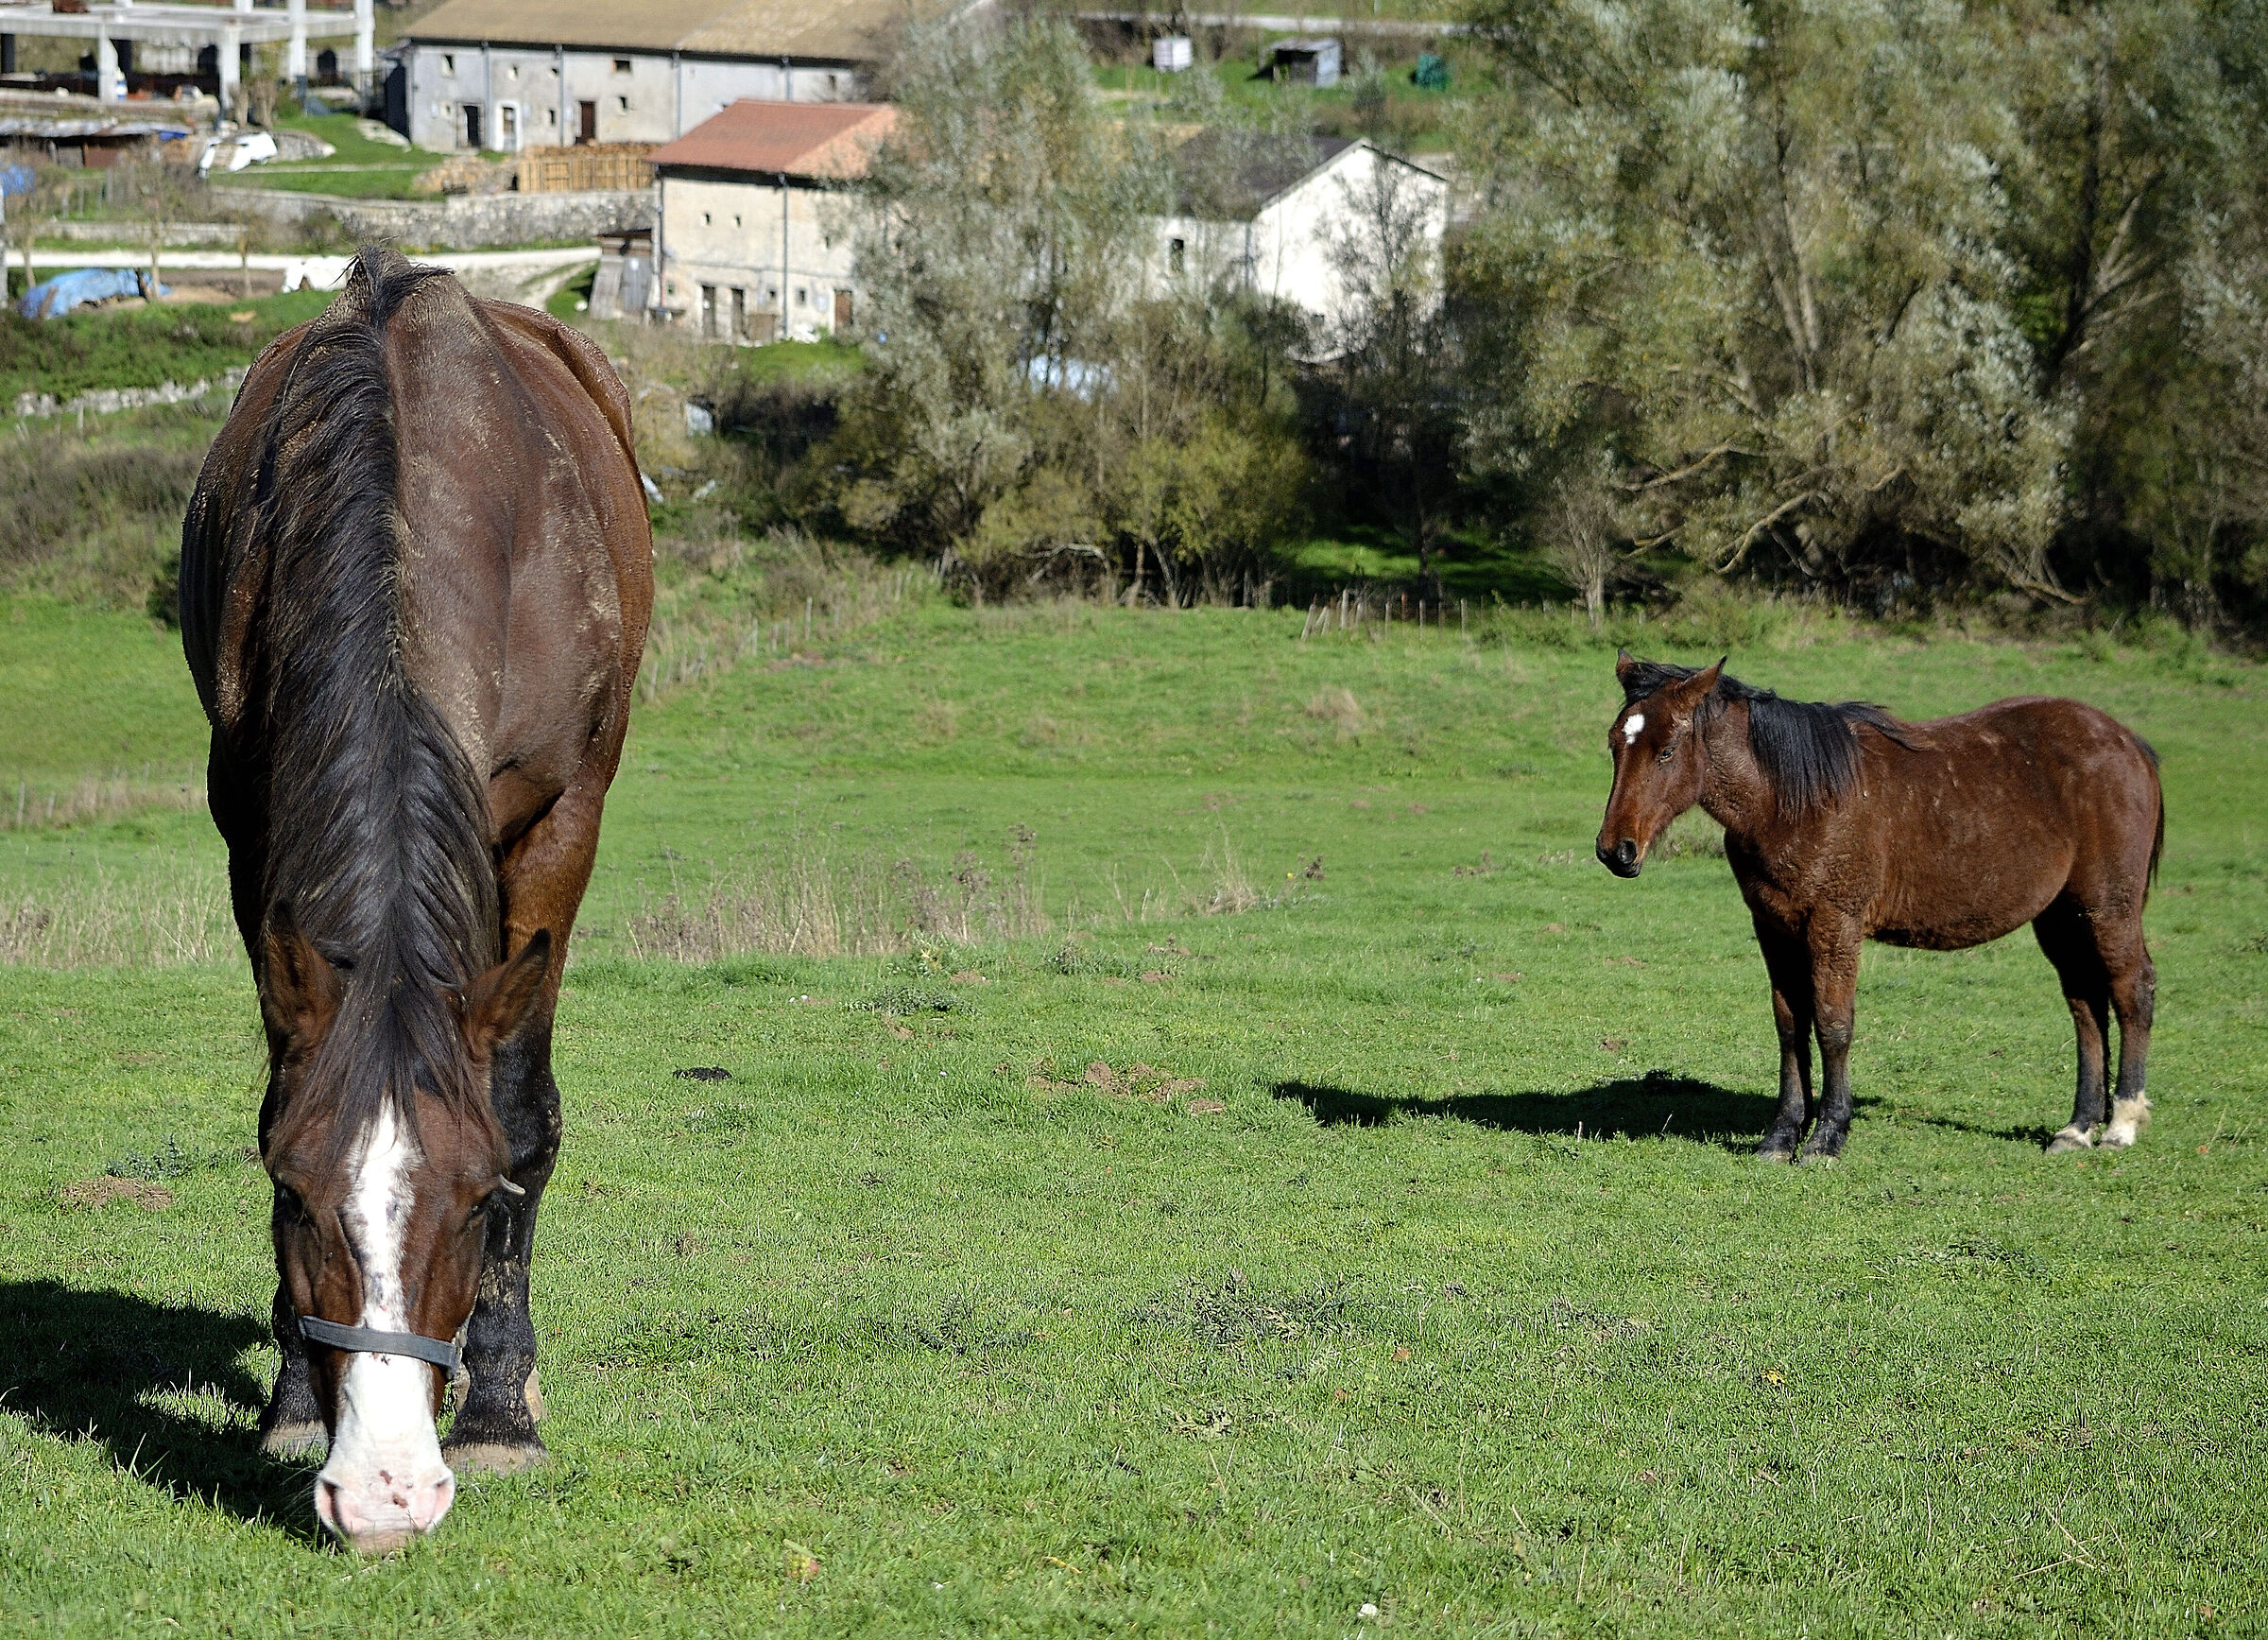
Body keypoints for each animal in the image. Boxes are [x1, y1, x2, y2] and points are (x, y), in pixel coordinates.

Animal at [180, 248, 652, 1552]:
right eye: (295, 1196)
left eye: (476, 1197)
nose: (387, 1492)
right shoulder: (252, 824)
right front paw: (295, 1403)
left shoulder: (561, 823)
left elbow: (525, 1110)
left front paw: (496, 1411)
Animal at [1593, 653, 2162, 1164]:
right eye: (1616, 743)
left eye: (1667, 751)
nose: (1615, 851)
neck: (1792, 799)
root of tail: (2128, 741)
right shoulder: (1774, 928)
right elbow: (1790, 1027)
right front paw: (1781, 1138)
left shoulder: (1835, 925)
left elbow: (1832, 1024)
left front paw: (1826, 1137)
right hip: (2061, 917)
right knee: (2086, 1004)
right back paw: (2077, 1129)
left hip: (2107, 907)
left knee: (2132, 989)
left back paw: (2121, 1124)